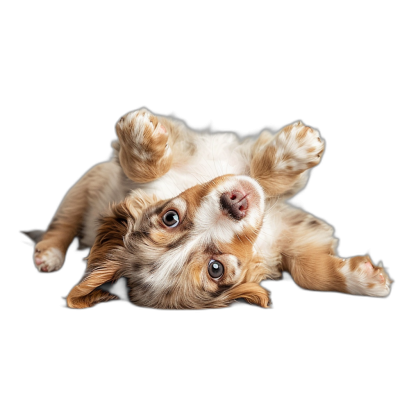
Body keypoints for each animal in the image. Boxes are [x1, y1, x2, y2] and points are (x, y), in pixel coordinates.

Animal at [22, 108, 394, 310]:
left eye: (170, 218)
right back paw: (49, 254)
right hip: (81, 192)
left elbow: (308, 272)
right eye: (216, 269)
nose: (236, 203)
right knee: (63, 222)